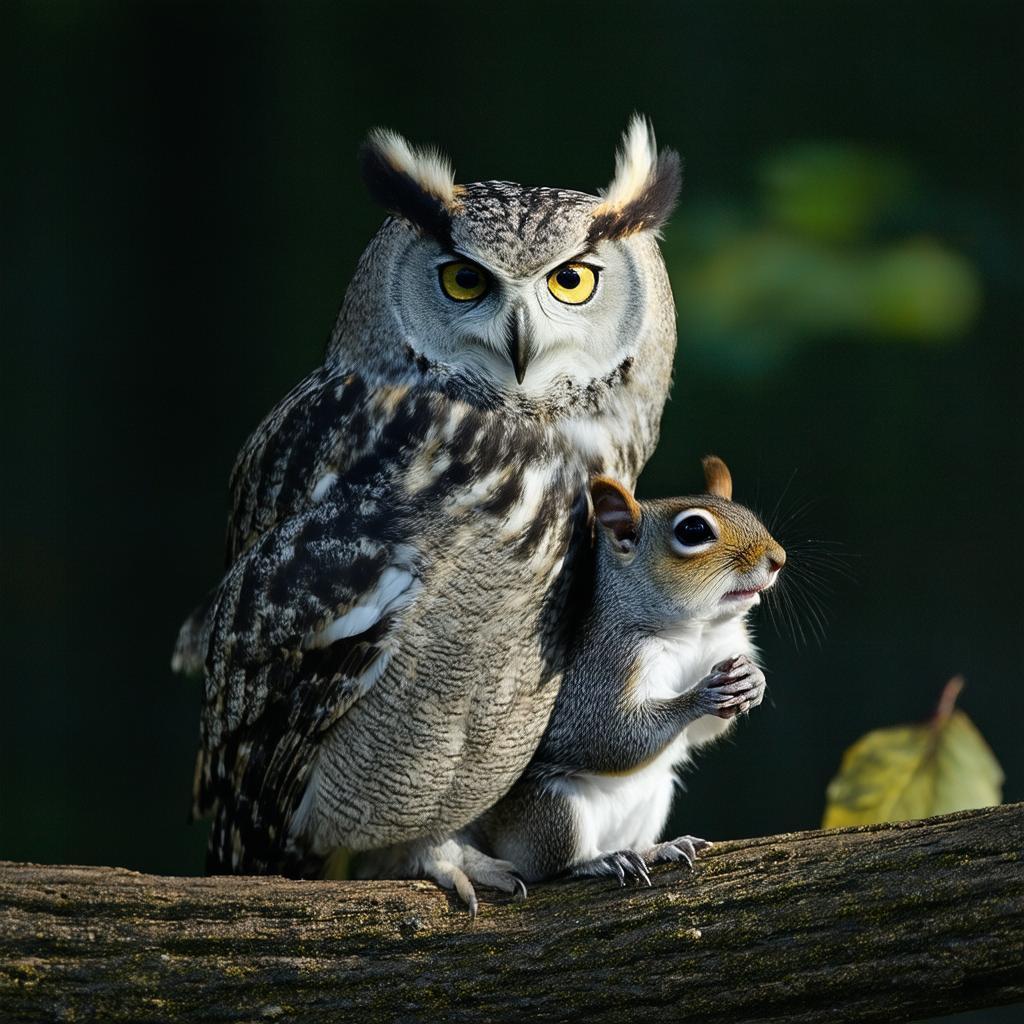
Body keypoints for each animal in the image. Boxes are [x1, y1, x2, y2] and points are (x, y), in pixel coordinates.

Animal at [475, 456, 785, 885]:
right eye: (694, 530)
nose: (778, 559)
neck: (693, 631)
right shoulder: (607, 665)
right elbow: (607, 735)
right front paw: (701, 695)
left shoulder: (727, 643)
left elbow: (703, 732)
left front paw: (753, 680)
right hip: (552, 811)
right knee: (553, 865)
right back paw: (599, 861)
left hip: (657, 794)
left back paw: (656, 849)